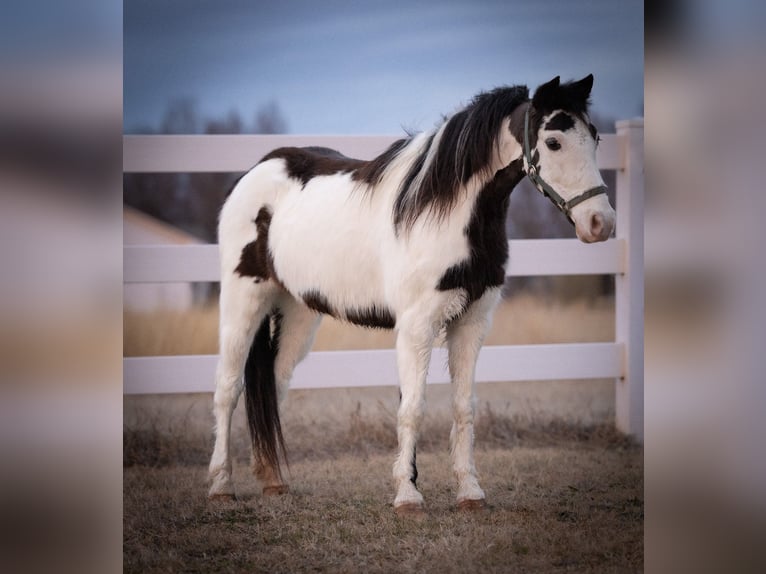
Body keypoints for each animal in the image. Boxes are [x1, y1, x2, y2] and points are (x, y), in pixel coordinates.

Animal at [207, 74, 615, 514]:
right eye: (554, 142)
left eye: (595, 137)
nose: (601, 223)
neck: (446, 212)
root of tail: (256, 171)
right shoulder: (417, 326)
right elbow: (413, 408)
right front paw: (407, 494)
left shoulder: (472, 323)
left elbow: (463, 407)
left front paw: (469, 491)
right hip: (243, 302)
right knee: (228, 389)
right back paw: (221, 486)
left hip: (298, 312)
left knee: (274, 383)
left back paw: (273, 481)